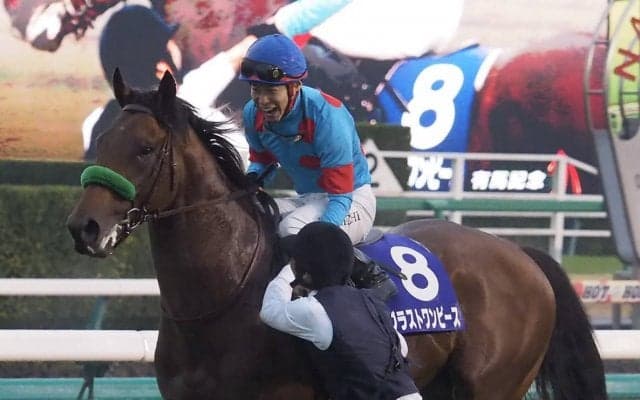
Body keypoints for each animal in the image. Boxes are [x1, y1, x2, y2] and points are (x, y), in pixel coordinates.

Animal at [66, 69, 607, 399]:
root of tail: (519, 252)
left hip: (496, 384)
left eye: (144, 148)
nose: (82, 227)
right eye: (101, 140)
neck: (222, 298)